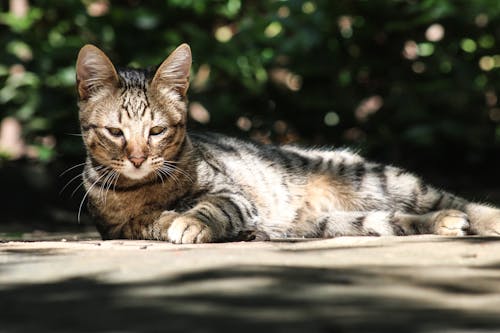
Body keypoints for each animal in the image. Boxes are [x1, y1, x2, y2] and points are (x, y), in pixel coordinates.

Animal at [74, 42, 500, 243]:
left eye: (157, 131)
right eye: (116, 132)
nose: (137, 158)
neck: (146, 188)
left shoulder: (233, 195)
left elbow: (210, 207)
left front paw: (193, 220)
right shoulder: (120, 227)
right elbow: (152, 221)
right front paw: (172, 219)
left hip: (380, 180)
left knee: (452, 200)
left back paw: (481, 218)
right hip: (335, 222)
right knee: (398, 220)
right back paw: (446, 223)